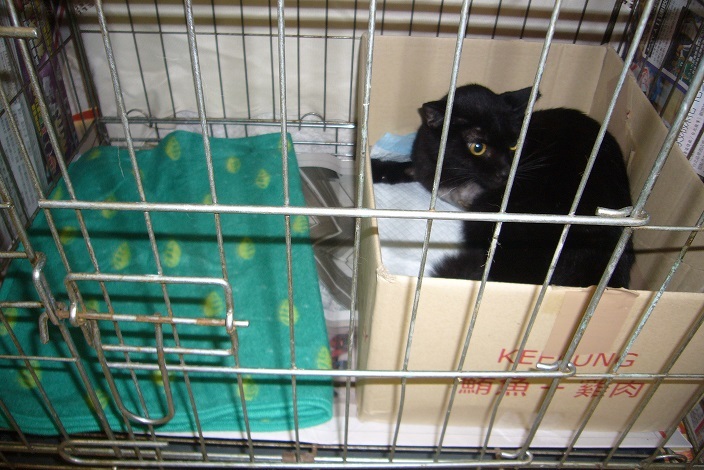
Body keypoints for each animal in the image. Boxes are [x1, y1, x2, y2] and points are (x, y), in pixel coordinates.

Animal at [371, 84, 634, 288]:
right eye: (478, 147)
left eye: (514, 145)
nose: (506, 172)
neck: (454, 174)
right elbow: (409, 168)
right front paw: (373, 167)